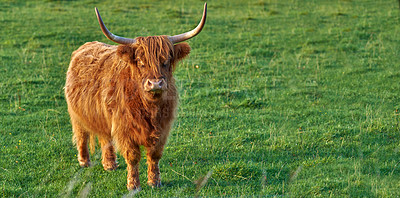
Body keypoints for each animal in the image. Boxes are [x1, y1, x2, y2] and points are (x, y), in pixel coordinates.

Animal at [64, 3, 208, 190]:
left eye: (166, 61)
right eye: (140, 62)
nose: (155, 83)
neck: (149, 108)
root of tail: (85, 46)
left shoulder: (162, 128)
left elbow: (154, 155)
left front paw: (155, 182)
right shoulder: (125, 128)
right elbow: (132, 156)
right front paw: (133, 185)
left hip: (102, 115)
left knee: (105, 138)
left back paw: (110, 164)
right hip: (77, 114)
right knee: (81, 135)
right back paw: (84, 161)